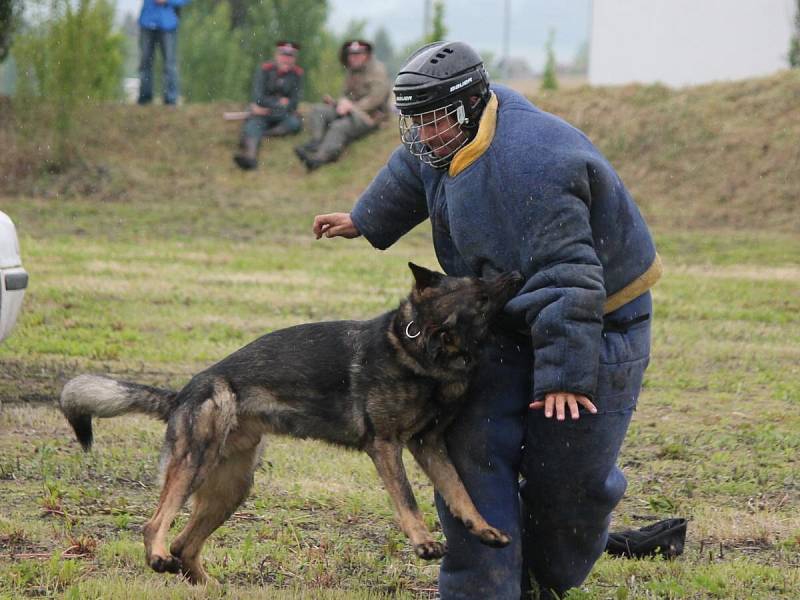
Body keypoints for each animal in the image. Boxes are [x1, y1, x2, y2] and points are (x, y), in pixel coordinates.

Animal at [57, 262, 524, 580]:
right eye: (481, 293)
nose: (518, 274)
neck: (420, 348)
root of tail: (183, 392)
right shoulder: (386, 445)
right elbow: (408, 499)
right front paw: (424, 543)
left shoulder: (428, 446)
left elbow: (461, 492)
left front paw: (483, 528)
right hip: (194, 464)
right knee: (156, 524)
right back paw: (156, 555)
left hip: (231, 489)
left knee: (184, 545)